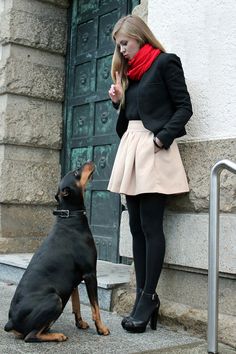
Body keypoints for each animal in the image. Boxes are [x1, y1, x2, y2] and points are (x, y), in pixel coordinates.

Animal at [3, 162, 109, 342]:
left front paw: (80, 323)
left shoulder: (74, 280)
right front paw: (101, 329)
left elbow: (77, 303)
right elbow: (95, 307)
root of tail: (11, 322)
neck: (70, 217)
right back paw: (57, 335)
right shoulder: (89, 273)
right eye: (76, 172)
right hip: (55, 299)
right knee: (31, 336)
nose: (90, 161)